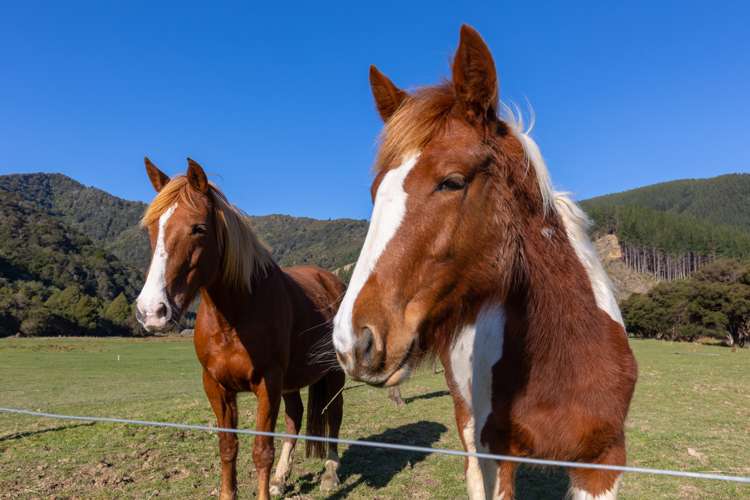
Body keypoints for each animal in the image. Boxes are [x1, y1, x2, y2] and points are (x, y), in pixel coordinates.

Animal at [135, 158, 346, 498]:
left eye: (198, 228)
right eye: (152, 228)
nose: (152, 311)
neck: (233, 319)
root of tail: (331, 281)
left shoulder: (267, 384)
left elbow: (261, 451)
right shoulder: (216, 386)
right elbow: (228, 447)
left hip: (334, 374)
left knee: (334, 416)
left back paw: (330, 473)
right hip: (291, 382)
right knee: (295, 418)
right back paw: (280, 479)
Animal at [334, 26, 640, 500]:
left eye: (452, 181)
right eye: (374, 191)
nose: (352, 341)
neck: (565, 361)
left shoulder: (602, 465)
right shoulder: (497, 456)